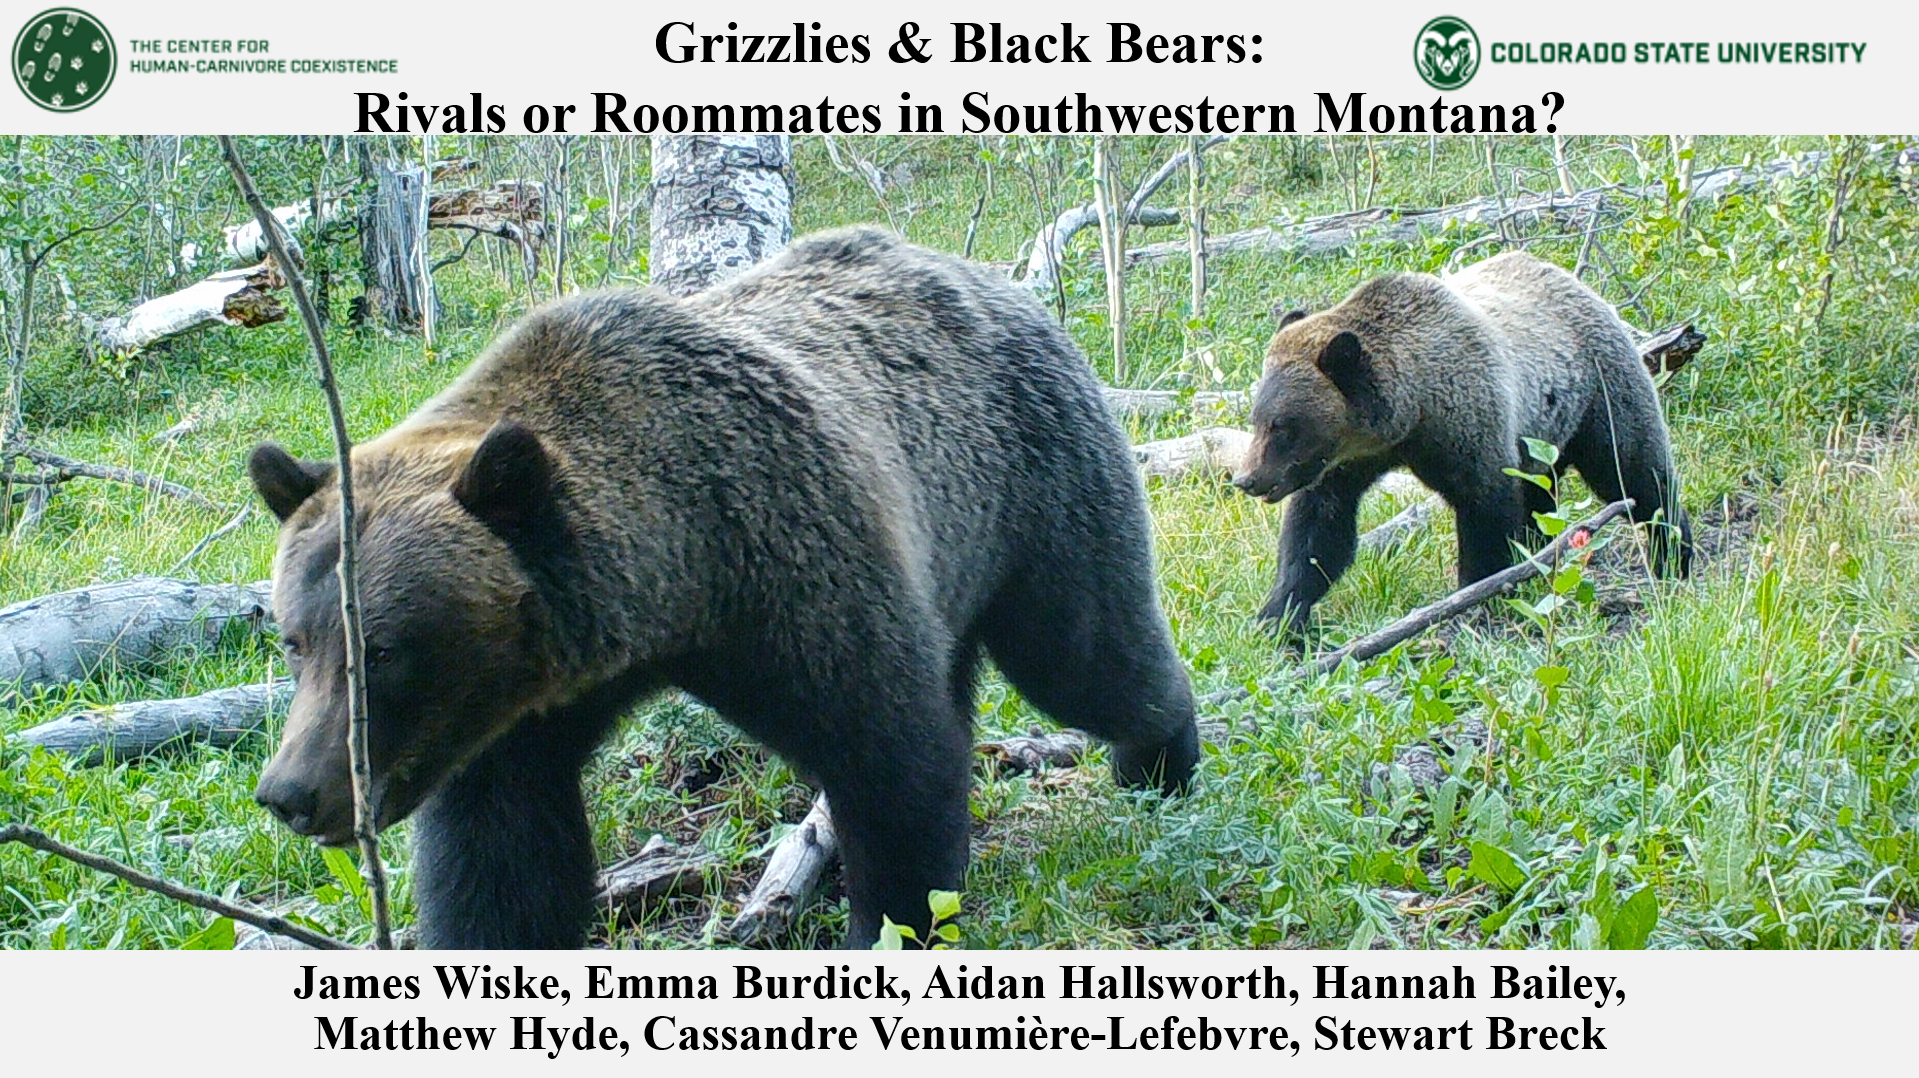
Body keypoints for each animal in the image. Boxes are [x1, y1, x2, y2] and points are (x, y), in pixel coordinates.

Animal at [247, 226, 1200, 949]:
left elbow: (893, 760)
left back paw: (1159, 764)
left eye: (384, 650)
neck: (675, 576)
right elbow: (503, 860)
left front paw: (896, 924)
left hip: (1027, 478)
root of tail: (995, 281)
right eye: (294, 640)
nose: (290, 793)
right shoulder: (519, 712)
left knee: (1085, 651)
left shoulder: (790, 564)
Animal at [1232, 251, 1692, 629]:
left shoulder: (1470, 425)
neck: (1412, 413)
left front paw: (1472, 596)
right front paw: (1278, 616)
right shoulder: (1346, 464)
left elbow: (1485, 513)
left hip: (1598, 392)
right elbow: (1318, 533)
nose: (1247, 479)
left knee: (1635, 472)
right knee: (1543, 499)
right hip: (1544, 436)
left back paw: (1673, 555)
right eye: (1258, 418)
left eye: (1283, 426)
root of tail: (1577, 281)